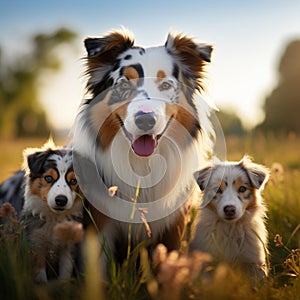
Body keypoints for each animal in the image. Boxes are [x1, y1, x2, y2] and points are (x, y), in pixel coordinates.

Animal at [72, 29, 214, 270]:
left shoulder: (174, 224)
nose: (145, 120)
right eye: (123, 85)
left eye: (165, 86)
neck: (143, 167)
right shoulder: (99, 222)